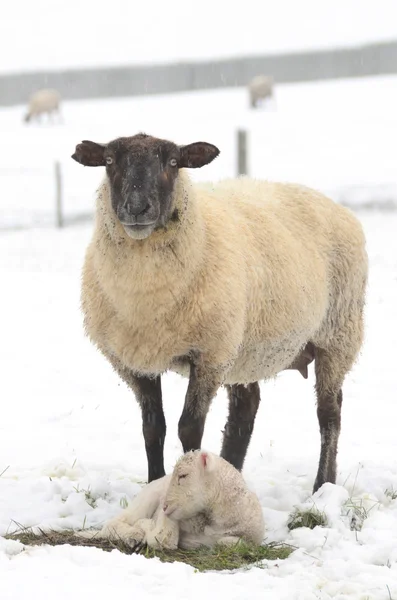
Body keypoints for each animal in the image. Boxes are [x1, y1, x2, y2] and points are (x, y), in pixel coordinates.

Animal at [70, 134, 366, 494]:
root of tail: (333, 203)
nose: (137, 208)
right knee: (245, 411)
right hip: (244, 347)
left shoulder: (208, 355)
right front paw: (154, 486)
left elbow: (189, 428)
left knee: (329, 413)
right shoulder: (135, 361)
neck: (147, 299)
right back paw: (233, 475)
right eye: (110, 161)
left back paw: (323, 486)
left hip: (336, 336)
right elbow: (153, 428)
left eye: (173, 162)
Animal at [79, 450, 264, 548]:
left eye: (183, 476)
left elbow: (228, 542)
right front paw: (144, 526)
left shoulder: (252, 538)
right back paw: (133, 534)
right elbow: (162, 538)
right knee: (113, 524)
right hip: (146, 498)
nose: (165, 506)